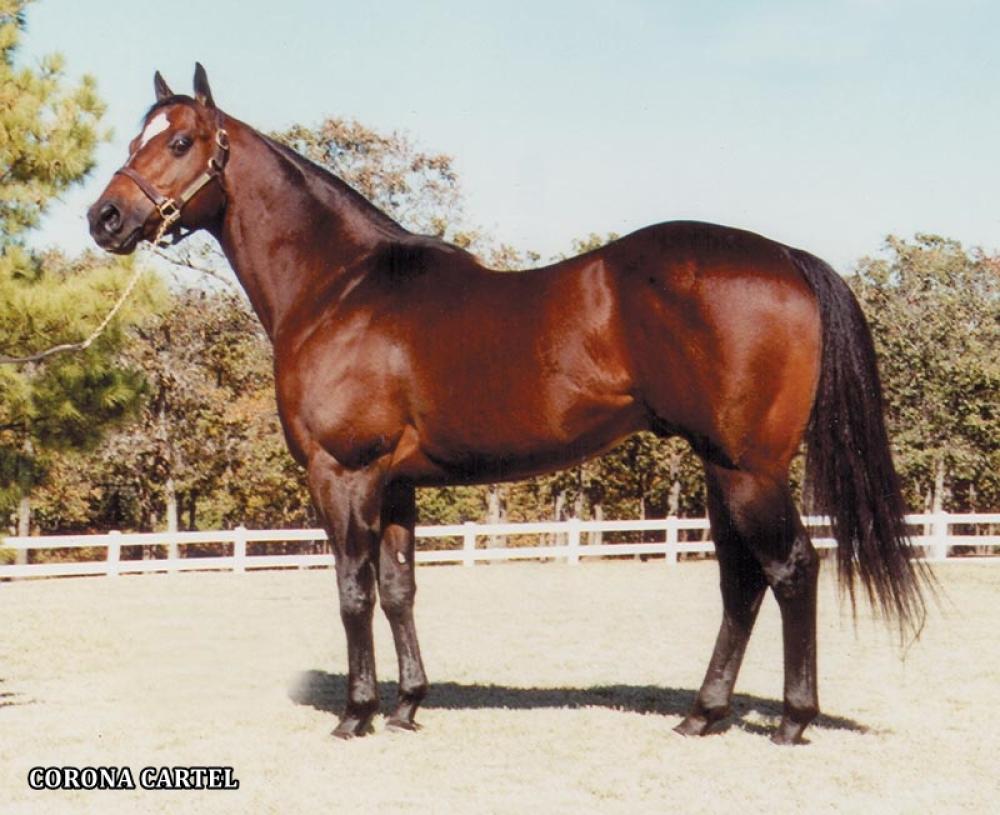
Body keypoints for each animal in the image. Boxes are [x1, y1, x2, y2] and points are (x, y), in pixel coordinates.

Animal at [88, 64, 927, 745]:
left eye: (182, 141)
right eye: (137, 136)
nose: (105, 219)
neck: (340, 288)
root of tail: (786, 257)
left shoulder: (343, 472)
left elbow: (352, 589)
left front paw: (356, 713)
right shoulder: (397, 482)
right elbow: (398, 589)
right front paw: (407, 704)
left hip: (748, 468)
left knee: (792, 569)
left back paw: (790, 720)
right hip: (723, 468)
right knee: (741, 581)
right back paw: (703, 712)